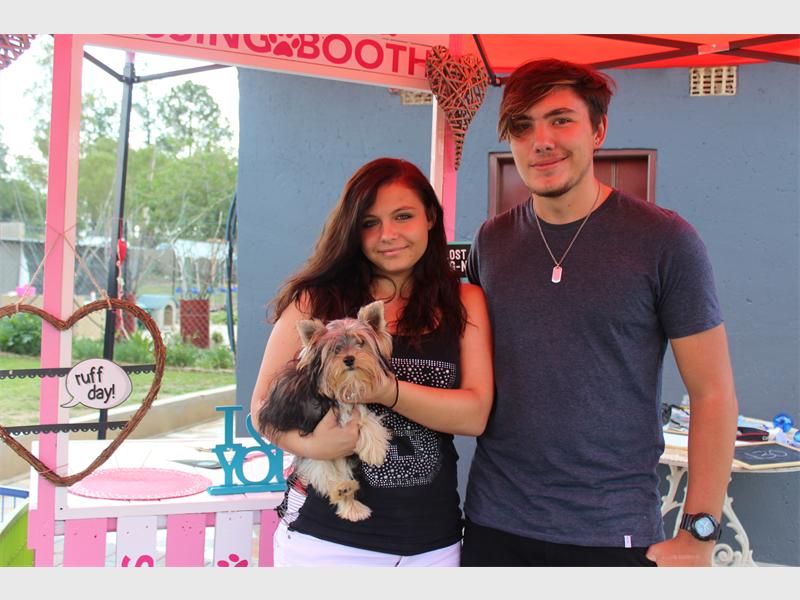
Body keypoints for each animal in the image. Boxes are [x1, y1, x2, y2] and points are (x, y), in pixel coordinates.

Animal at [257, 300, 394, 521]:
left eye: (360, 343)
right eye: (335, 349)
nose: (349, 359)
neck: (346, 384)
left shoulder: (355, 406)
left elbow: (365, 417)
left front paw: (375, 448)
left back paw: (351, 503)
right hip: (315, 454)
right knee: (323, 471)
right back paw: (341, 490)